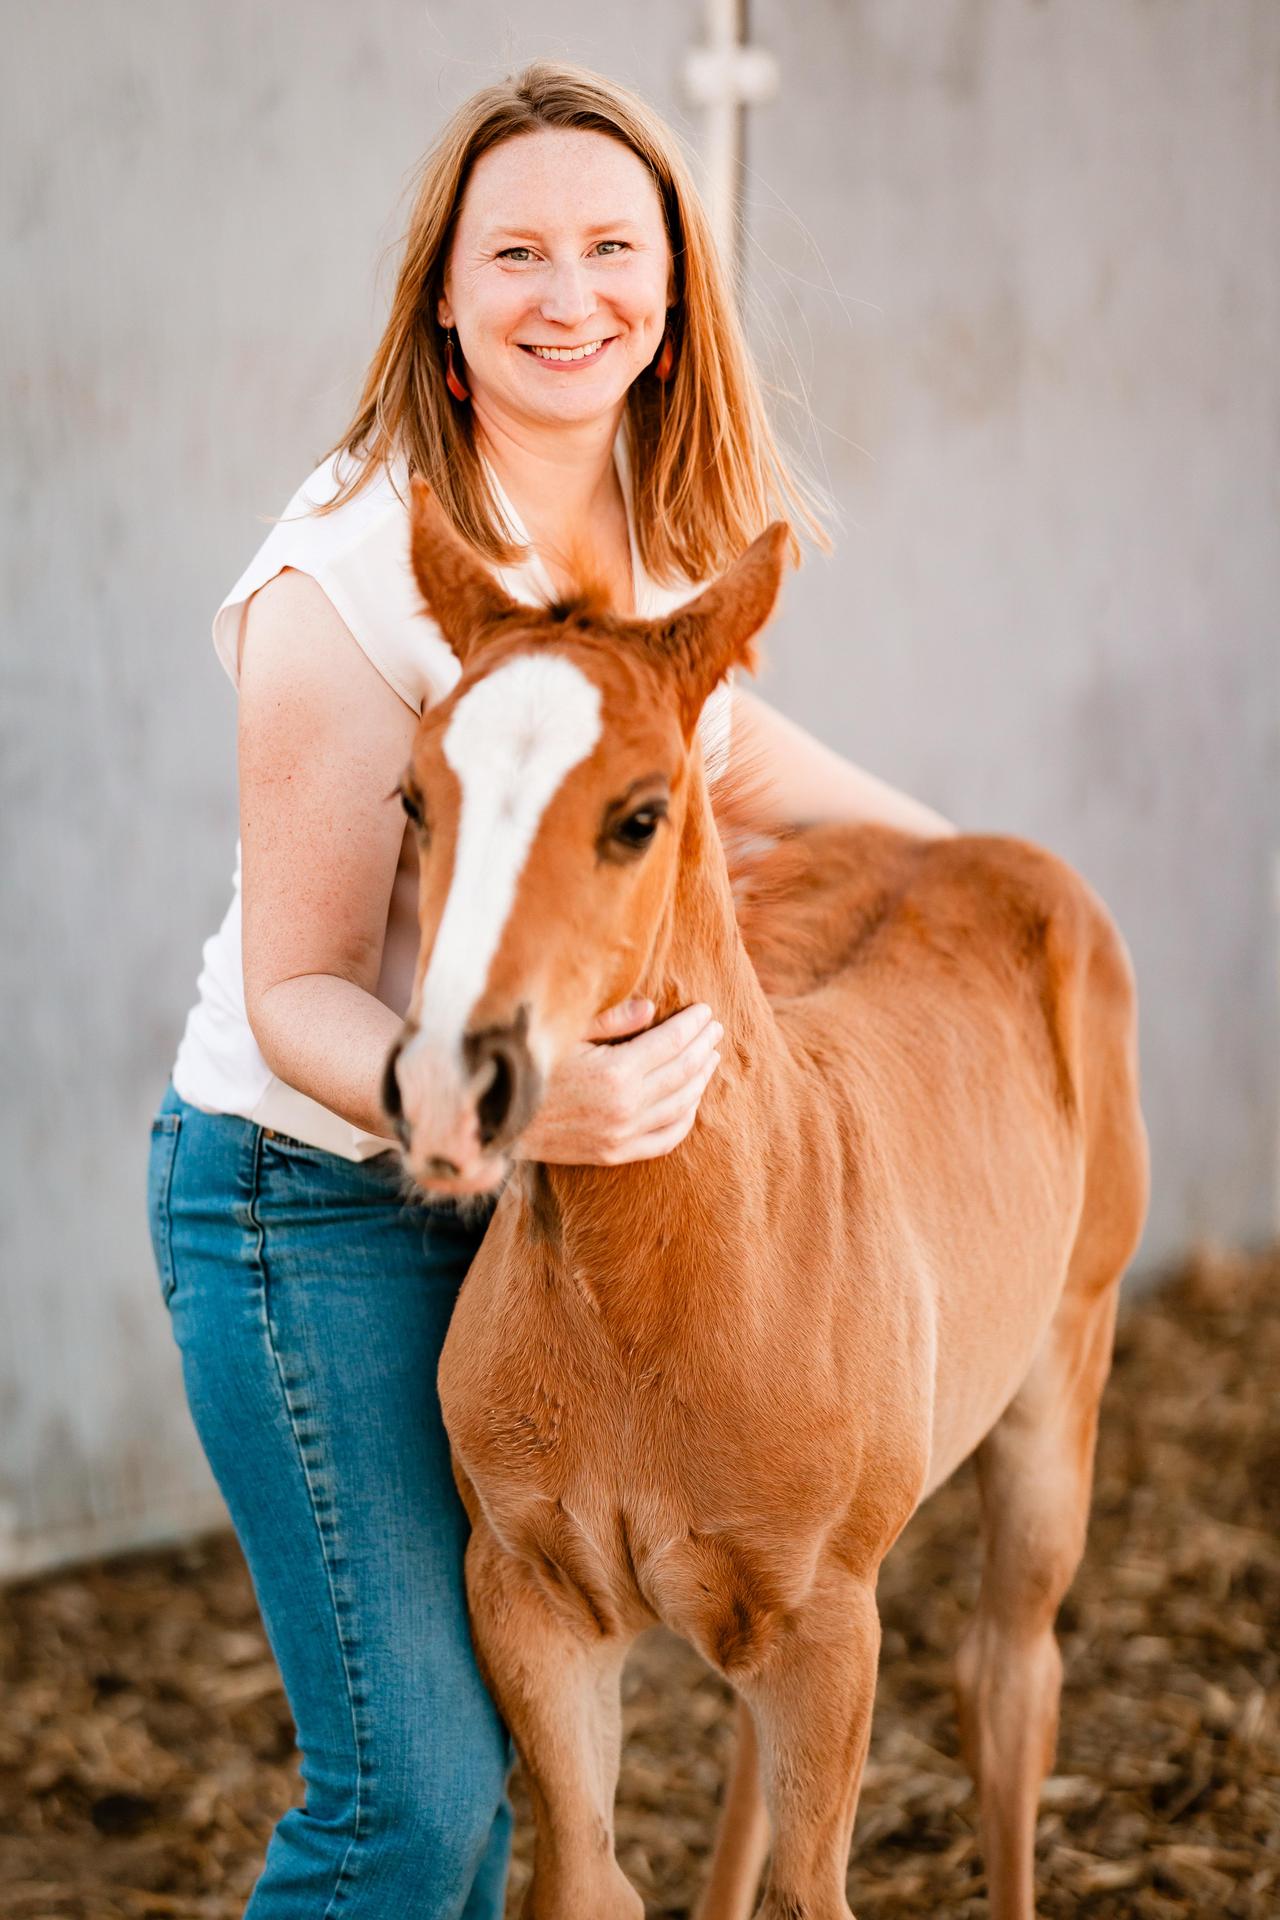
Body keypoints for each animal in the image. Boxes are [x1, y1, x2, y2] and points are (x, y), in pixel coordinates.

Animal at [383, 479, 1150, 1920]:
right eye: (412, 799)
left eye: (637, 815)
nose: (456, 1086)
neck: (664, 1294)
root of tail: (979, 847)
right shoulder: (531, 1602)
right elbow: (587, 1879)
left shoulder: (828, 1629)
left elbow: (816, 1889)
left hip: (1060, 1375)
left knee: (1008, 1685)